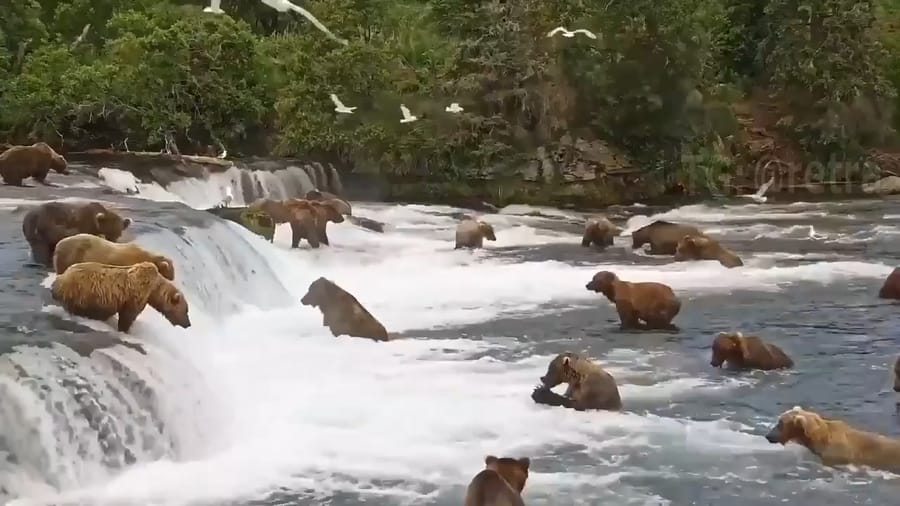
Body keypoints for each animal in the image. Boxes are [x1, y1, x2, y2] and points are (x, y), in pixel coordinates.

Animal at [50, 261, 191, 333]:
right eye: (186, 311)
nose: (188, 324)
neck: (153, 290)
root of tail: (60, 279)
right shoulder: (135, 295)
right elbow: (128, 315)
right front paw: (125, 329)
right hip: (80, 292)